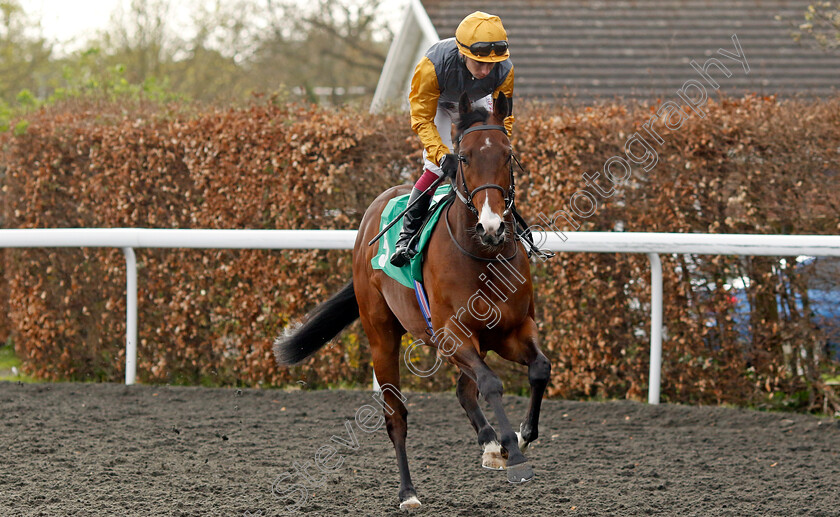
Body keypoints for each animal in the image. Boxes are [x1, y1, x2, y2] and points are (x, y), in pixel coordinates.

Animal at [276, 91, 552, 508]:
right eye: (464, 157)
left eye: (507, 155)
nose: (491, 227)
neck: (483, 256)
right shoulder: (452, 334)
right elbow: (491, 384)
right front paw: (514, 453)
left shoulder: (513, 329)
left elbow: (539, 369)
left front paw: (519, 436)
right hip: (382, 335)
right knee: (396, 416)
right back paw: (408, 491)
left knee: (464, 389)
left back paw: (489, 444)